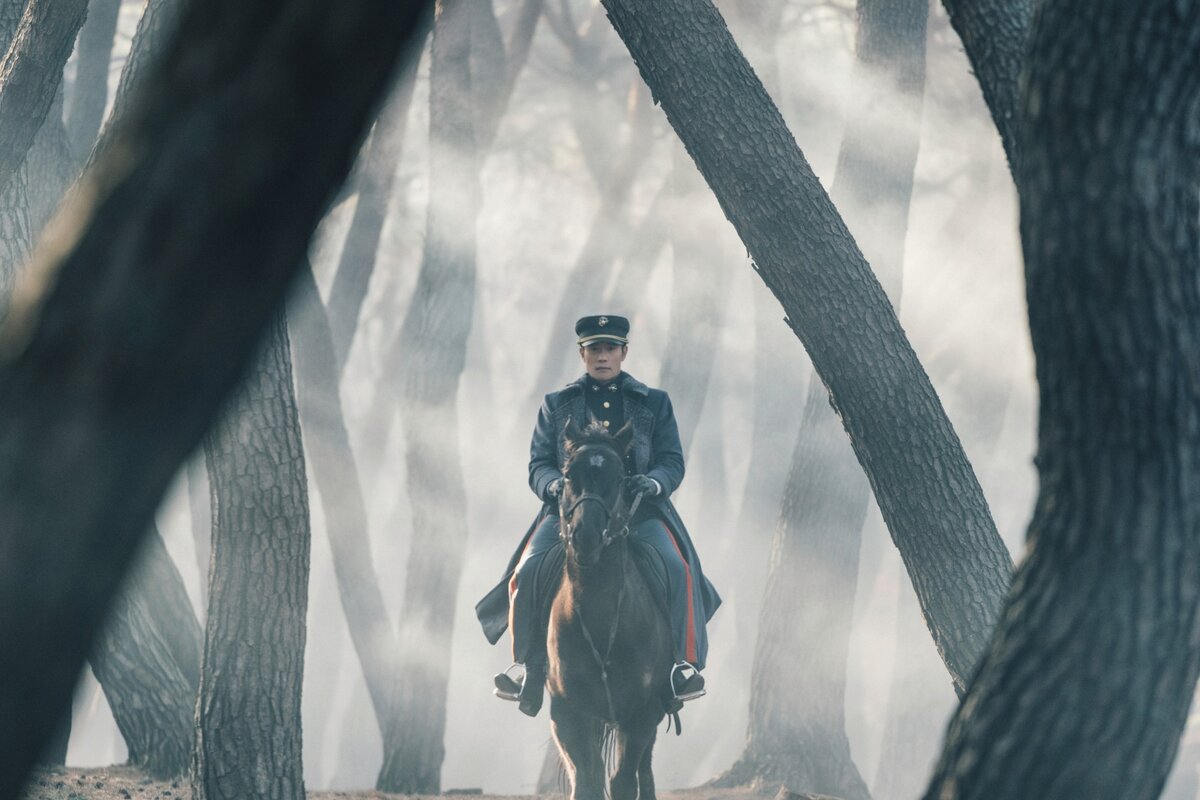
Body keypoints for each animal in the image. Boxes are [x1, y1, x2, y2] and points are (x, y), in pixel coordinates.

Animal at [547, 419, 676, 800]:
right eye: (567, 475)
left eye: (619, 477)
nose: (586, 537)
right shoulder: (568, 713)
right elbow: (586, 782)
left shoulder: (641, 713)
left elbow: (622, 782)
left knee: (643, 770)